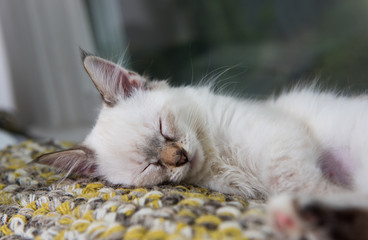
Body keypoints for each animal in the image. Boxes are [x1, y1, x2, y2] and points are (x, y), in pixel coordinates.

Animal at [36, 50, 368, 238]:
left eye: (163, 128)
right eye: (149, 167)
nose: (179, 157)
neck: (217, 157)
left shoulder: (279, 135)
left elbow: (293, 178)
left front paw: (323, 191)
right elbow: (293, 182)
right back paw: (301, 219)